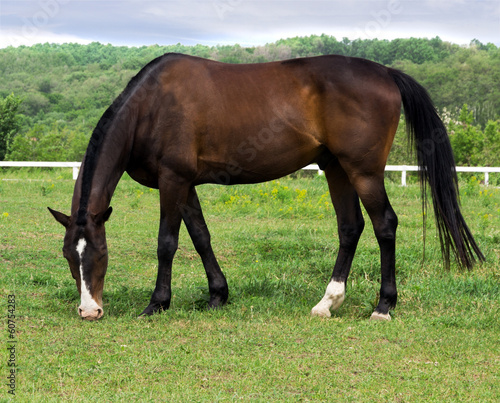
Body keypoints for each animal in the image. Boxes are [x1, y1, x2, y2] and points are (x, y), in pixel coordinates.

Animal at [48, 53, 482, 322]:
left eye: (102, 253)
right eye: (70, 255)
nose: (90, 311)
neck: (151, 105)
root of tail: (386, 72)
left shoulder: (173, 180)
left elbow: (167, 243)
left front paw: (157, 303)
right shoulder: (184, 184)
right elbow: (201, 236)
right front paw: (217, 295)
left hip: (364, 171)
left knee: (384, 225)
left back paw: (383, 306)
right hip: (336, 168)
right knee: (350, 228)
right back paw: (327, 303)